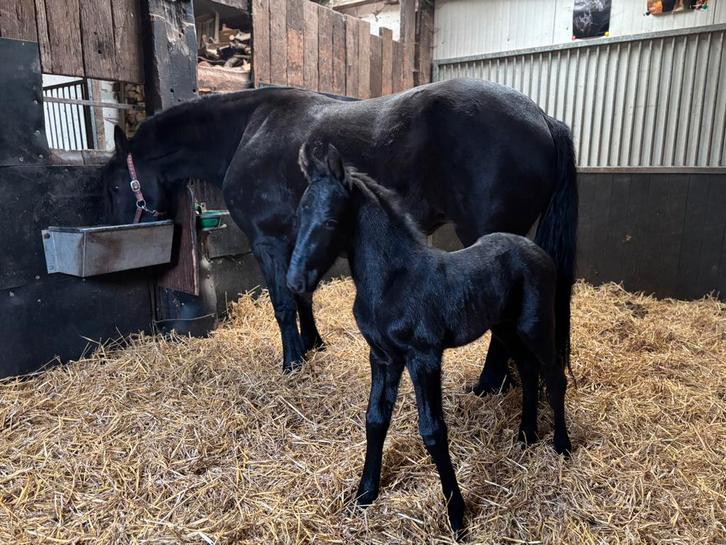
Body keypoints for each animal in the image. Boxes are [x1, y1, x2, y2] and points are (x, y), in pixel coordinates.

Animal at [102, 78, 578, 383]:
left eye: (114, 185)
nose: (120, 229)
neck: (248, 131)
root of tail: (541, 117)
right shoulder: (296, 240)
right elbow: (302, 295)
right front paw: (312, 346)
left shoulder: (267, 241)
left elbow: (283, 304)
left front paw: (292, 363)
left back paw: (491, 382)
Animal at [287, 143, 573, 537]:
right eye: (299, 215)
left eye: (330, 221)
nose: (295, 281)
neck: (393, 281)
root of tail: (536, 250)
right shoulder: (383, 357)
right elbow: (375, 419)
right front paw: (365, 494)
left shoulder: (424, 358)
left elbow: (433, 431)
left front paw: (457, 517)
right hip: (504, 328)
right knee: (529, 370)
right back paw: (526, 434)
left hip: (535, 326)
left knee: (554, 376)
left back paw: (562, 445)